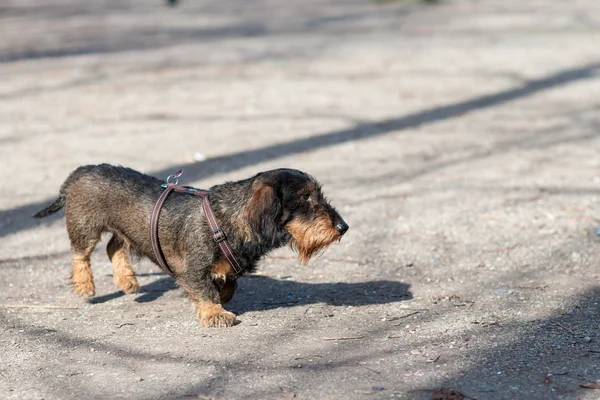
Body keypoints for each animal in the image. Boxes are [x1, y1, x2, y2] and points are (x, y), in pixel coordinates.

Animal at [34, 164, 346, 326]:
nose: (343, 227)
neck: (225, 219)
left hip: (124, 230)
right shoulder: (191, 269)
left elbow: (228, 286)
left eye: (317, 194)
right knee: (80, 254)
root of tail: (80, 171)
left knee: (114, 247)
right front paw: (215, 312)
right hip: (85, 226)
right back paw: (85, 284)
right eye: (305, 197)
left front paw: (221, 297)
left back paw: (127, 280)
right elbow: (206, 289)